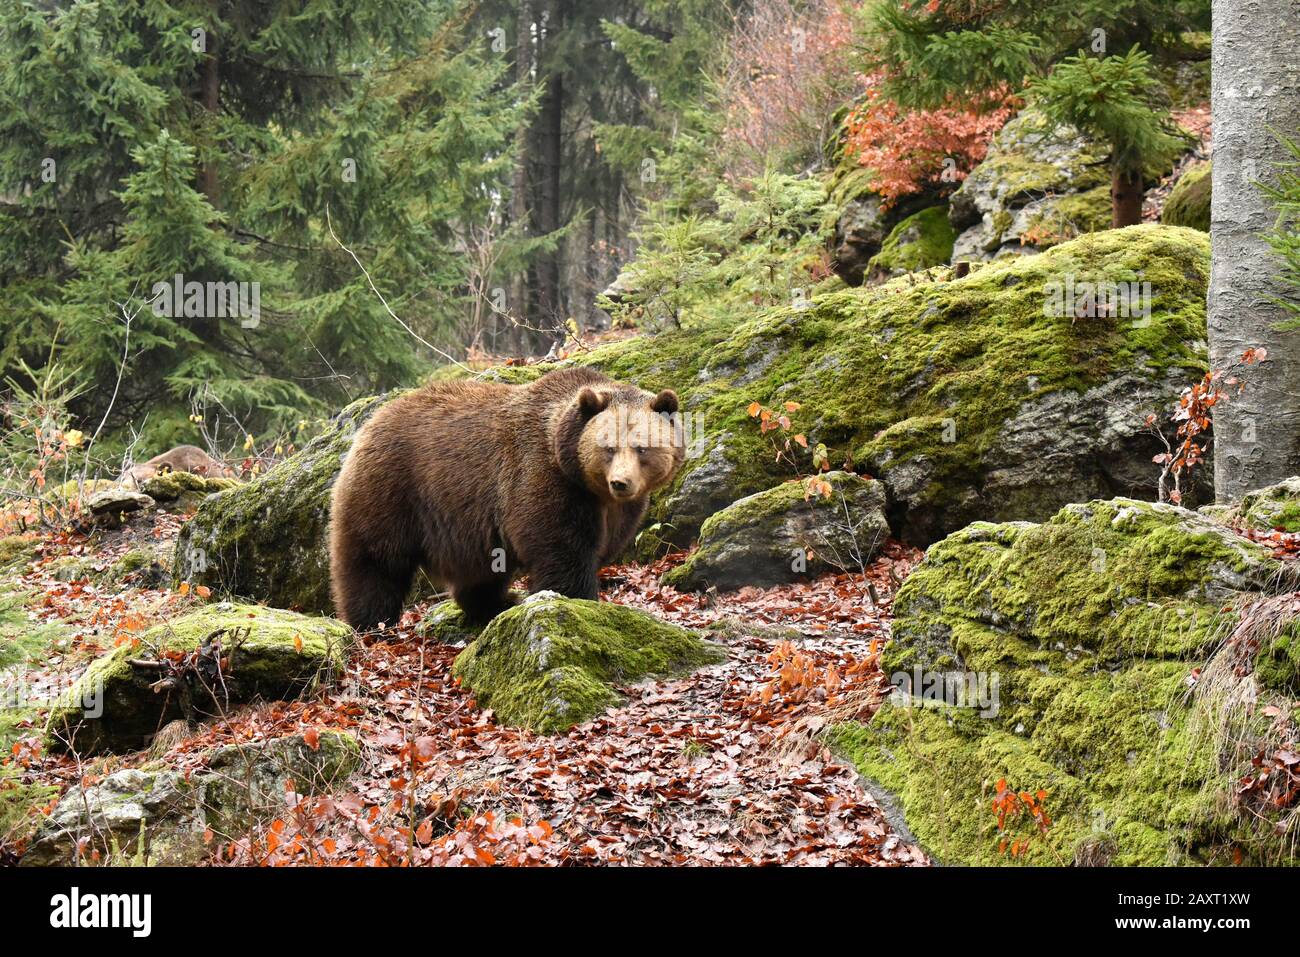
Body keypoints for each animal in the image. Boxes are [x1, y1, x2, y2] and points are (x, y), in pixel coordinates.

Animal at [328, 367, 684, 630]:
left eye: (642, 448)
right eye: (608, 447)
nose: (620, 483)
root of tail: (368, 424)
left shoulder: (618, 510)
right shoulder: (542, 479)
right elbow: (561, 549)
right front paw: (579, 599)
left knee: (479, 573)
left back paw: (497, 603)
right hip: (392, 490)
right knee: (375, 562)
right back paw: (371, 621)